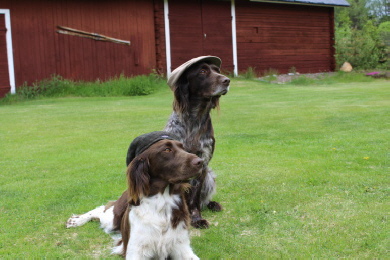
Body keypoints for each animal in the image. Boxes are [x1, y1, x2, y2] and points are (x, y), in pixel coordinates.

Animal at [67, 132, 201, 260]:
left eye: (183, 148)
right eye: (167, 150)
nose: (200, 162)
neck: (162, 201)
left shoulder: (181, 247)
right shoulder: (136, 250)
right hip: (113, 220)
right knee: (101, 210)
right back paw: (76, 221)